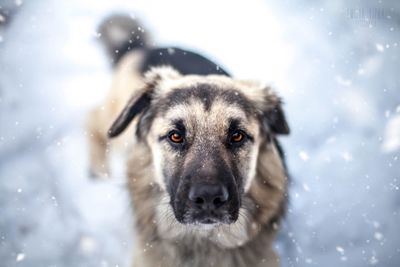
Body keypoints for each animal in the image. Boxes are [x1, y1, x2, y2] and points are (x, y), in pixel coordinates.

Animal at [87, 14, 290, 267]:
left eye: (237, 135)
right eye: (176, 136)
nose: (208, 198)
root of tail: (144, 48)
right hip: (119, 131)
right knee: (93, 119)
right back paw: (97, 167)